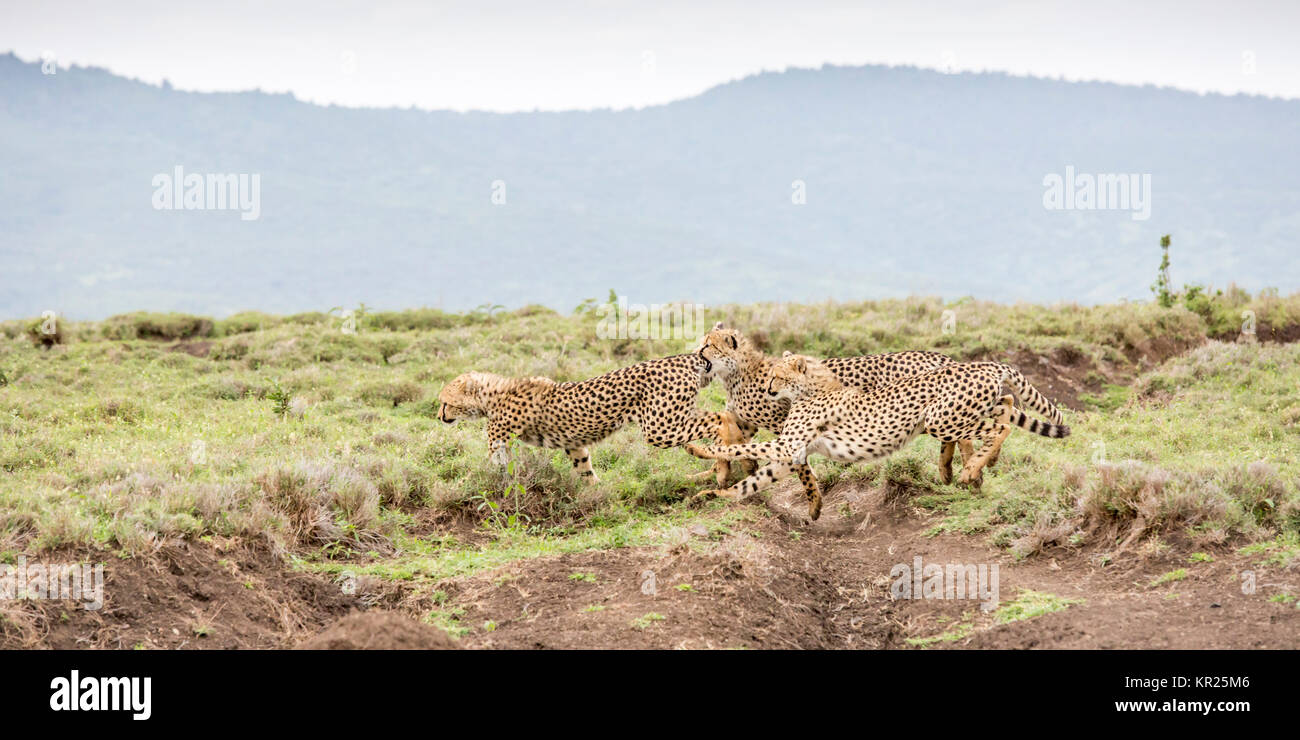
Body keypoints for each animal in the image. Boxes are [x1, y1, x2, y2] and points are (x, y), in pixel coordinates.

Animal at [436, 353, 743, 483]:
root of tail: (684, 356)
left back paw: (723, 464)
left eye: (445, 402)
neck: (490, 395)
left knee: (719, 420)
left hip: (659, 427)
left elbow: (494, 466)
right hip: (674, 414)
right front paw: (596, 492)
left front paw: (473, 484)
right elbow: (583, 466)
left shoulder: (498, 440)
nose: (439, 416)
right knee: (724, 414)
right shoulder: (574, 444)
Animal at [686, 351, 1071, 520]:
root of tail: (983, 363)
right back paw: (965, 469)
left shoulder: (787, 444)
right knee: (1005, 406)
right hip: (962, 411)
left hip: (941, 418)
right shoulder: (790, 452)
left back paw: (971, 469)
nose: (768, 389)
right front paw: (714, 495)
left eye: (777, 376)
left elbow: (741, 449)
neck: (811, 388)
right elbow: (751, 481)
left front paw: (700, 451)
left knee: (1000, 426)